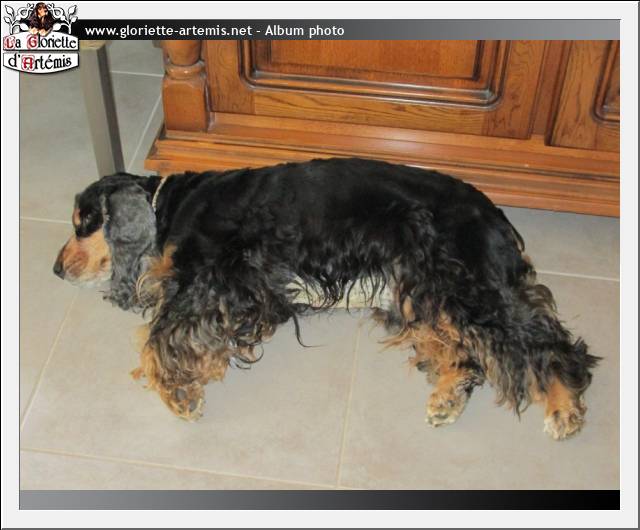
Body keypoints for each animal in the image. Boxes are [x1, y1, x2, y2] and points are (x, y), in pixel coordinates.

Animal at [53, 157, 599, 440]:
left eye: (82, 222)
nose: (56, 269)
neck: (169, 203)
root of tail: (496, 212)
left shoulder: (220, 275)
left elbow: (158, 335)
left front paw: (177, 391)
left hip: (464, 279)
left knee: (551, 345)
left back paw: (563, 408)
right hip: (420, 287)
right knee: (465, 353)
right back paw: (447, 397)